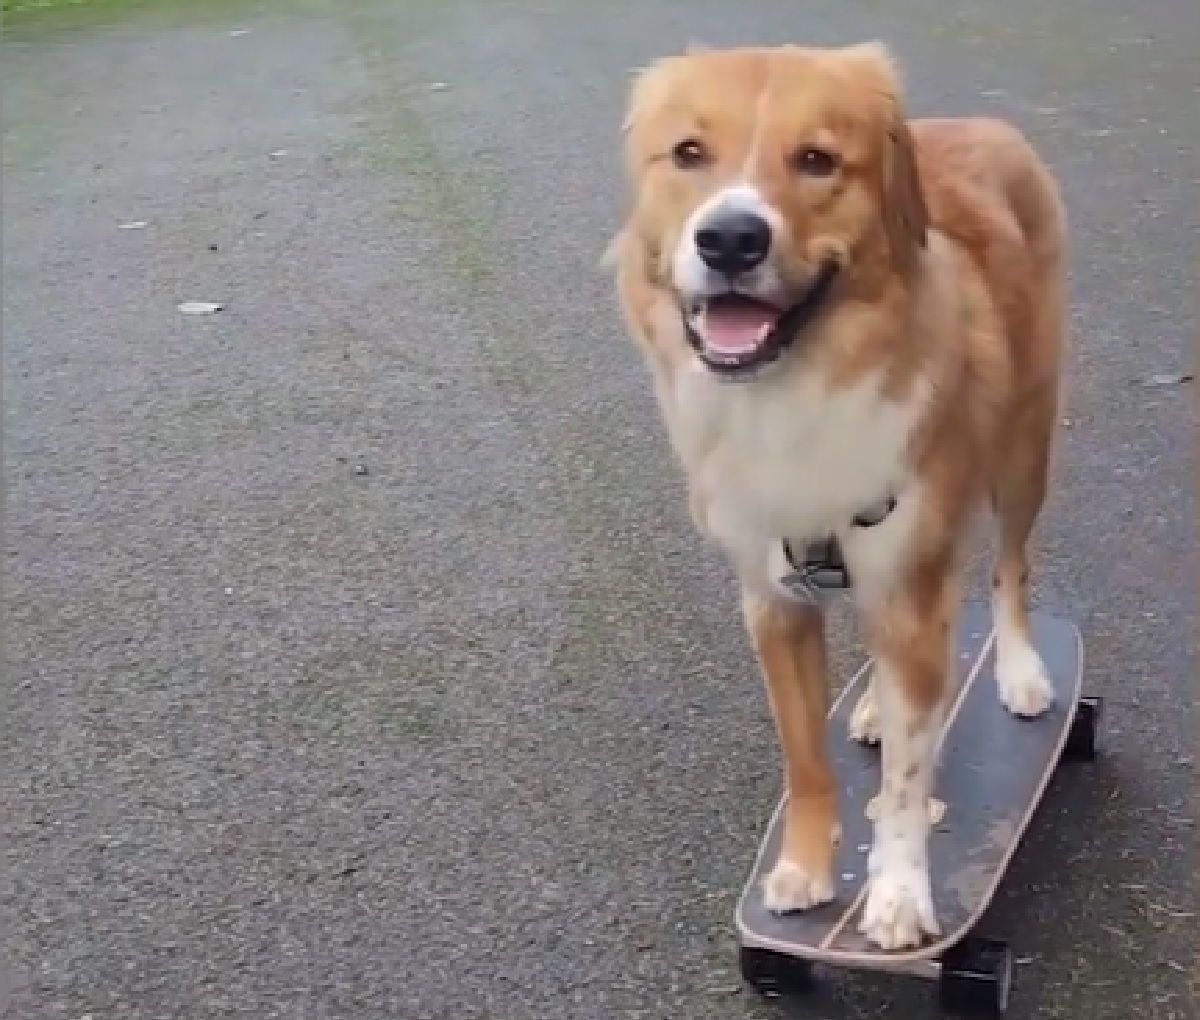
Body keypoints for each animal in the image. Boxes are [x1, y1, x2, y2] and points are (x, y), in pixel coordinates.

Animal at [609, 39, 1070, 945]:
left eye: (817, 160)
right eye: (688, 154)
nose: (730, 239)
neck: (796, 391)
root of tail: (985, 123)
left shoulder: (910, 579)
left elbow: (905, 784)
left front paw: (896, 895)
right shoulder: (775, 601)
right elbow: (806, 759)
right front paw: (806, 866)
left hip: (1023, 451)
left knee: (1010, 570)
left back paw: (1018, 670)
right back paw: (875, 708)